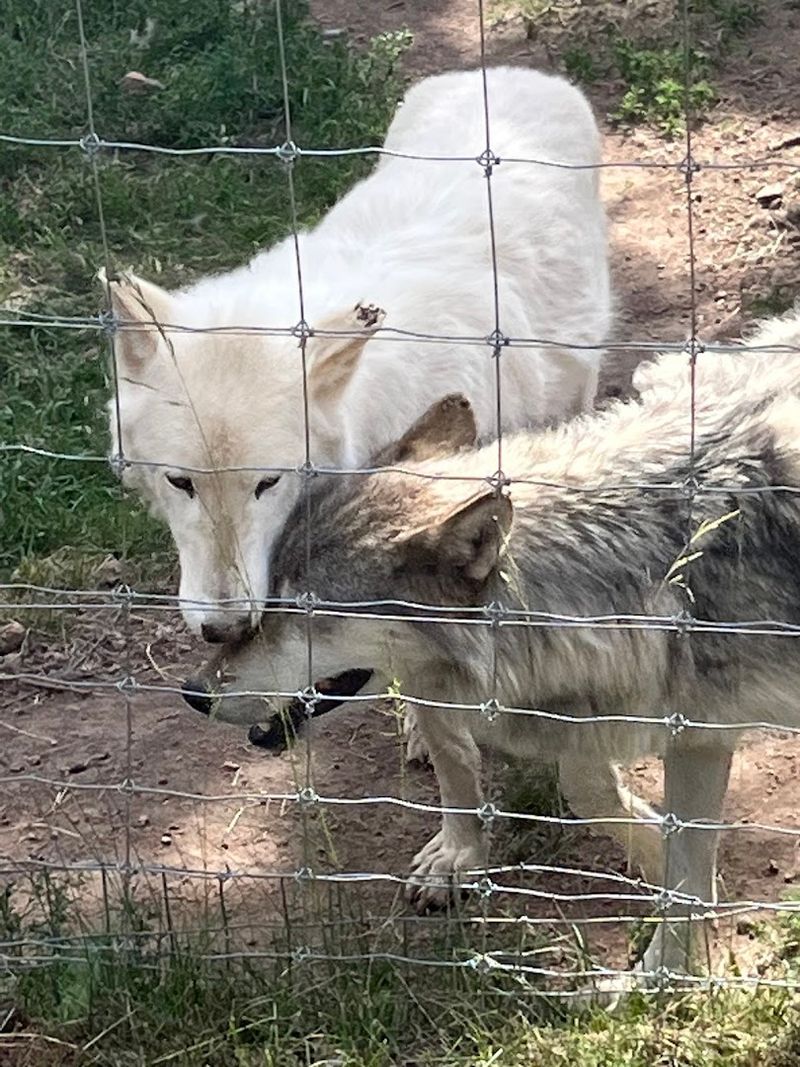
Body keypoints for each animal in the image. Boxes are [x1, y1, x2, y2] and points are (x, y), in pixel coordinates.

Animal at [182, 307, 800, 984]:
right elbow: (609, 805)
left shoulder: (692, 722)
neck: (661, 570)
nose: (192, 692)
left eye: (306, 609)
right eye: (271, 594)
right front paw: (668, 944)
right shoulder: (687, 726)